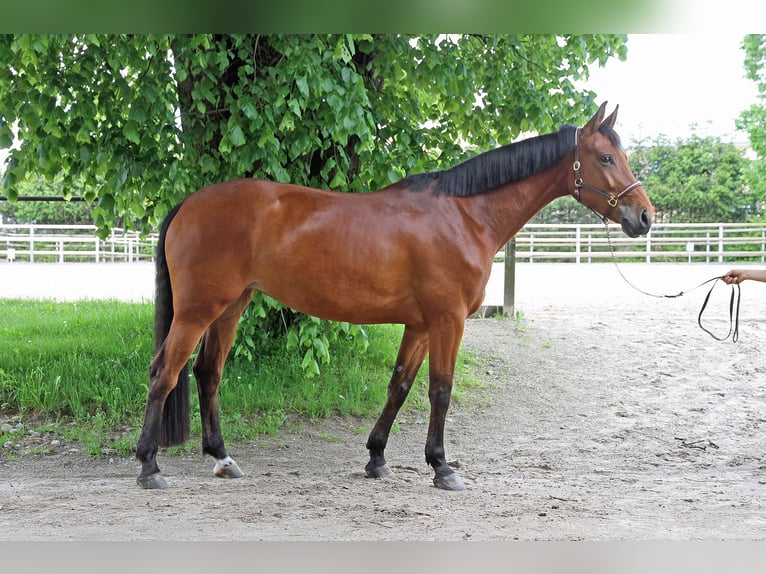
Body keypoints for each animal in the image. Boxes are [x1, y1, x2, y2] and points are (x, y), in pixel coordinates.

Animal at [136, 102, 656, 490]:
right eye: (605, 158)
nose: (645, 216)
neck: (465, 216)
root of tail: (189, 202)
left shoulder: (421, 324)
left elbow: (400, 386)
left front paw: (377, 458)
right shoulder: (448, 320)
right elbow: (441, 390)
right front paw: (442, 467)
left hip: (231, 307)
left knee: (208, 373)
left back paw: (222, 459)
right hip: (199, 310)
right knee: (164, 373)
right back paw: (148, 466)